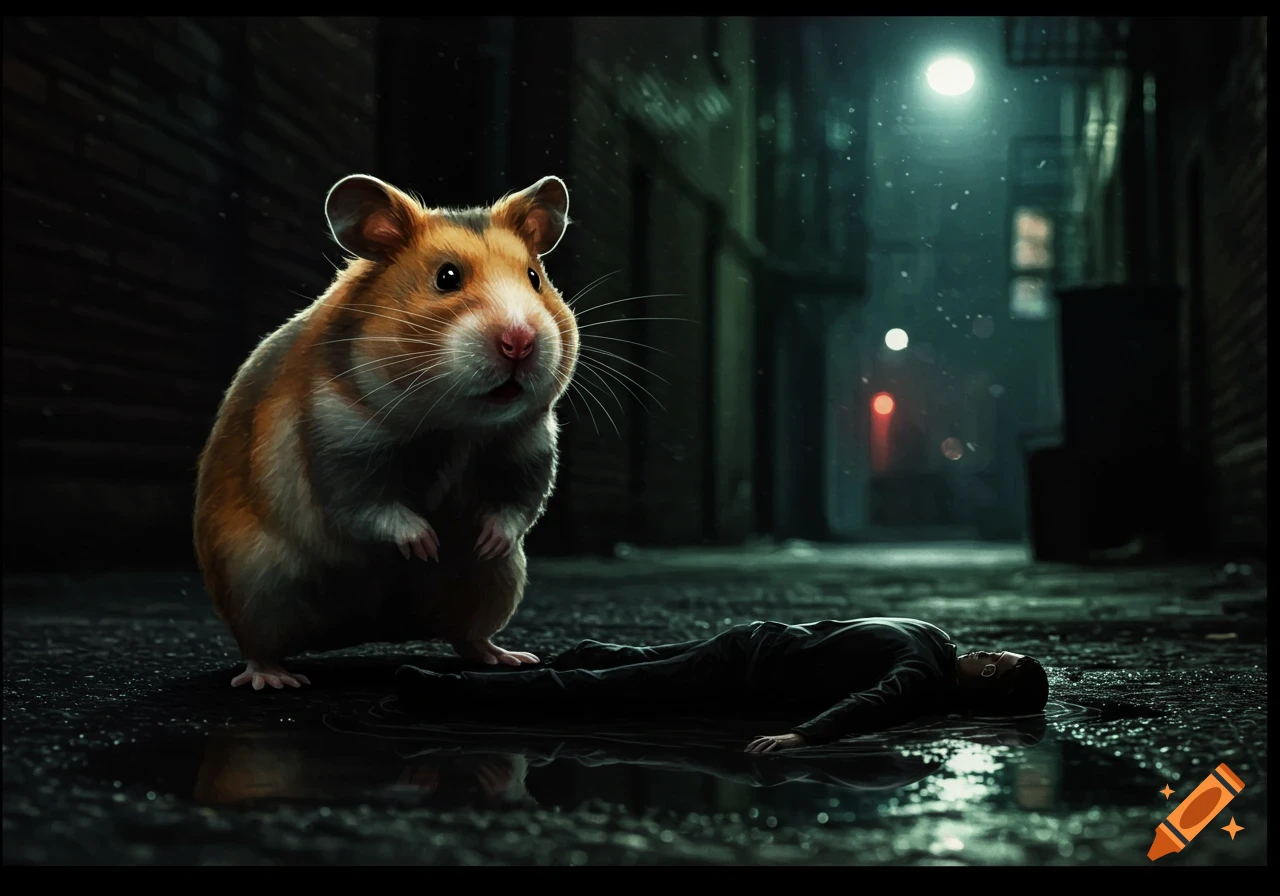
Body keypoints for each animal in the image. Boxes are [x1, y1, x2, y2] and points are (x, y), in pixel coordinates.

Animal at [193, 173, 578, 690]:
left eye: (535, 278)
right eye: (447, 278)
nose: (519, 341)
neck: (455, 425)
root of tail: (365, 631)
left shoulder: (526, 445)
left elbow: (517, 502)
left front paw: (485, 540)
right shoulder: (337, 438)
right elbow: (367, 505)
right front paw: (425, 545)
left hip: (495, 583)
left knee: (467, 635)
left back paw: (508, 657)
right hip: (253, 579)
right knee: (258, 642)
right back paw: (273, 678)